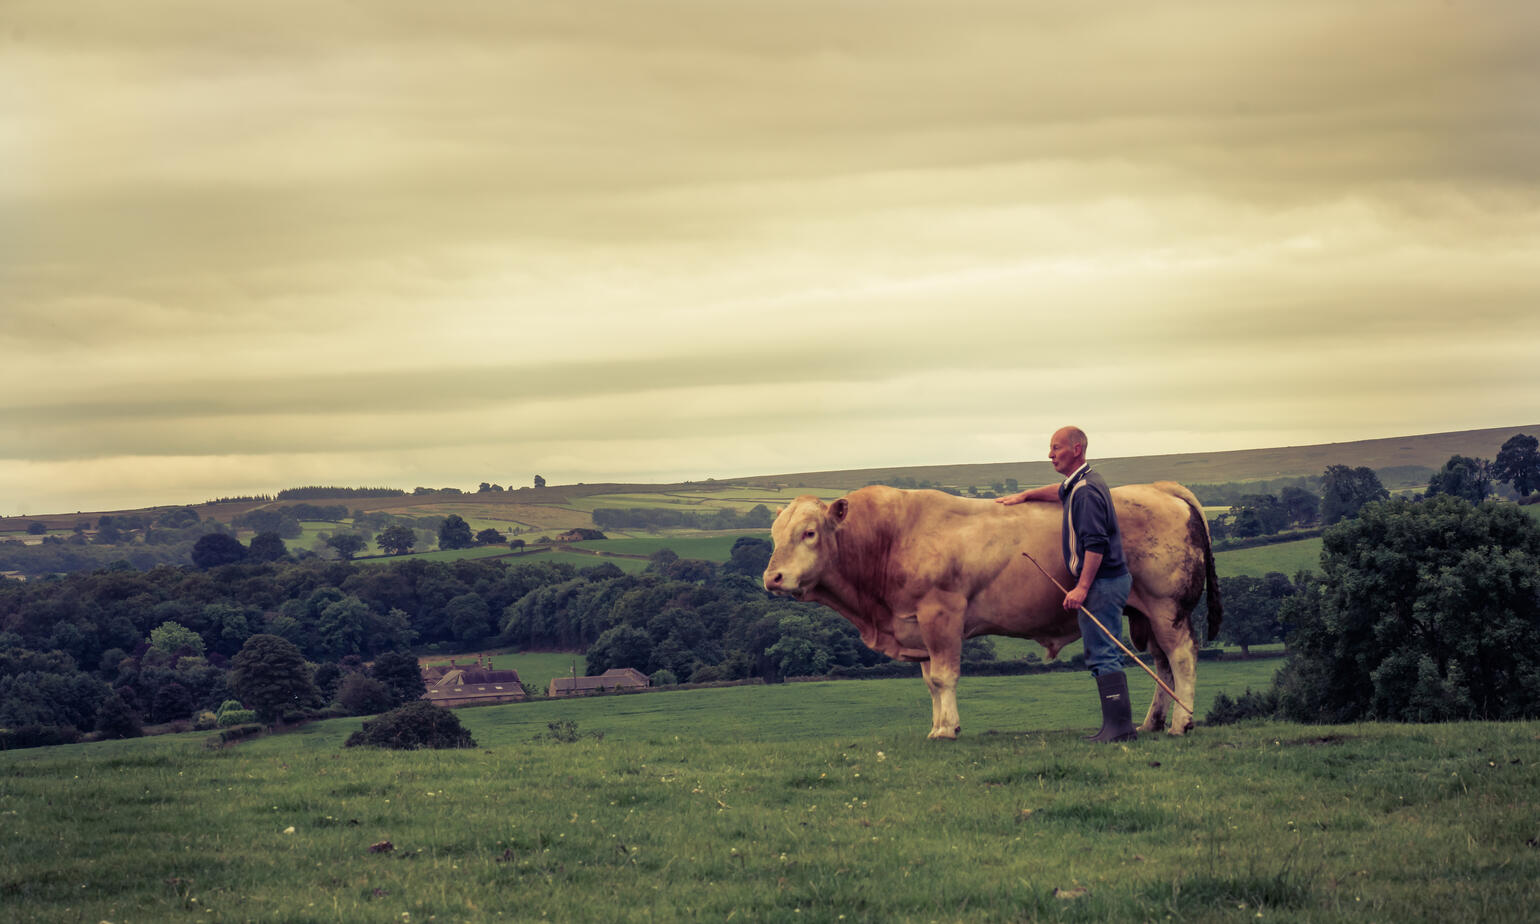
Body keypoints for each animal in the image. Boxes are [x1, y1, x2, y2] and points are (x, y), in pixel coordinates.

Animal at [763, 483, 1219, 736]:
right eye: (774, 534)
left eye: (809, 533)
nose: (773, 578)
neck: (890, 538)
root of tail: (1159, 487)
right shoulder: (917, 626)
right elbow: (930, 683)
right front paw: (937, 724)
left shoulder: (942, 615)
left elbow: (944, 678)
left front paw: (947, 729)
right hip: (1145, 614)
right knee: (1162, 666)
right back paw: (1152, 723)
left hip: (1166, 607)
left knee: (1182, 658)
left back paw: (1181, 723)